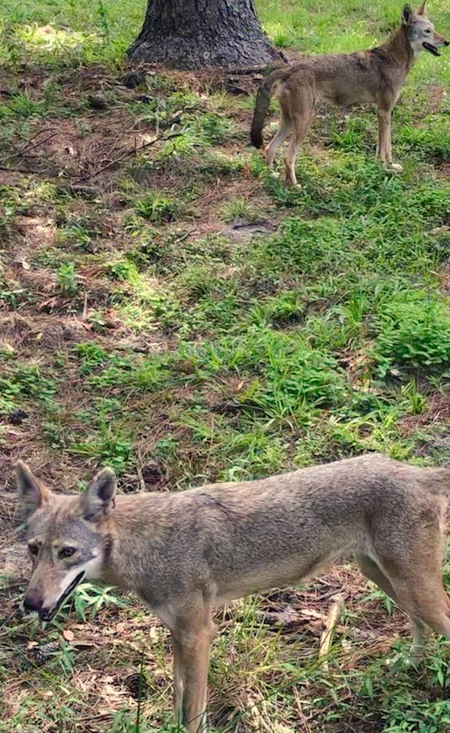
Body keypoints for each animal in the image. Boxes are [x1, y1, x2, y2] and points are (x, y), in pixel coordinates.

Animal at [16, 454, 450, 728]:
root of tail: (416, 471)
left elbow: (193, 712)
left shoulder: (199, 634)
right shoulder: (180, 635)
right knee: (420, 630)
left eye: (67, 552)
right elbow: (178, 699)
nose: (30, 604)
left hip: (414, 587)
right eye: (34, 549)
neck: (146, 544)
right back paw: (410, 665)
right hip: (389, 581)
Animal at [250, 3, 446, 186]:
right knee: (288, 156)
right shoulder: (383, 111)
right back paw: (295, 186)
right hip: (304, 122)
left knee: (269, 148)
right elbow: (384, 147)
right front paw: (385, 168)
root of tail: (288, 69)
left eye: (434, 28)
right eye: (428, 31)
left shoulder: (384, 112)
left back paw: (272, 176)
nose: (446, 42)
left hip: (289, 121)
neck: (392, 59)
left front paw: (389, 166)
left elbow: (386, 146)